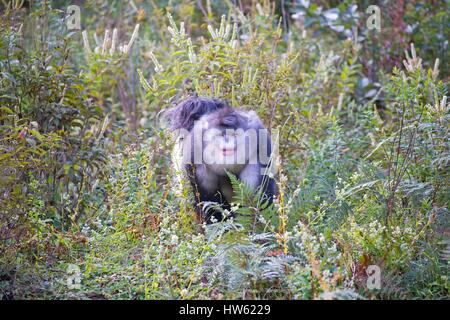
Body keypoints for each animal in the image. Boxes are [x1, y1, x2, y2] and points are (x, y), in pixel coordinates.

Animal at [167, 96, 276, 224]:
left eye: (234, 134)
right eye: (220, 135)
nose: (227, 141)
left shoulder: (259, 147)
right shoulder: (196, 159)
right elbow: (207, 202)